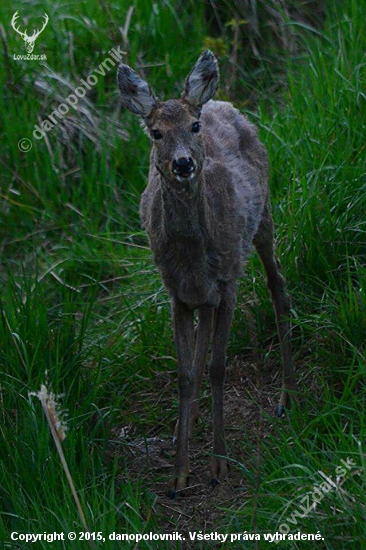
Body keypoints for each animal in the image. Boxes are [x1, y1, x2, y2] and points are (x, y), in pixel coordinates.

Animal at [117, 50, 298, 500]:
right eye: (155, 132)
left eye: (193, 127)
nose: (183, 163)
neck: (193, 255)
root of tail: (218, 101)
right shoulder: (176, 293)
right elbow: (185, 374)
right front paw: (179, 474)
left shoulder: (229, 281)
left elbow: (218, 367)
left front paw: (218, 465)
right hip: (204, 292)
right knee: (204, 332)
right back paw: (191, 421)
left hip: (264, 216)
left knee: (277, 285)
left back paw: (287, 396)